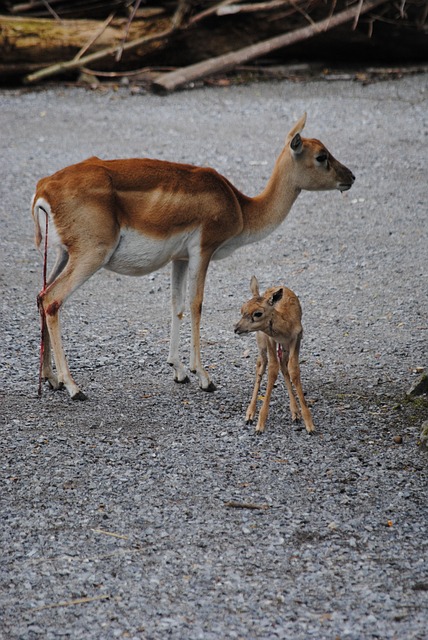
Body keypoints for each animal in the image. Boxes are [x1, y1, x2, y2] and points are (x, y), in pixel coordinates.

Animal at [32, 112, 354, 398]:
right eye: (322, 156)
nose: (350, 176)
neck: (240, 207)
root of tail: (44, 188)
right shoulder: (203, 249)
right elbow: (196, 304)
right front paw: (204, 377)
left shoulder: (180, 258)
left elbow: (176, 305)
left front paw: (179, 370)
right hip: (91, 255)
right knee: (53, 299)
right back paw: (73, 387)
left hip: (62, 254)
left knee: (40, 295)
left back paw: (50, 379)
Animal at [234, 276, 314, 436]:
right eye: (242, 309)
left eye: (257, 313)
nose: (236, 328)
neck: (285, 327)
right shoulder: (270, 339)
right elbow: (272, 370)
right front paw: (260, 424)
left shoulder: (296, 338)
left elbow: (293, 370)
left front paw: (309, 423)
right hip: (261, 340)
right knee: (261, 364)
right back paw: (250, 414)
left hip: (284, 347)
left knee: (283, 365)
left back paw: (295, 412)